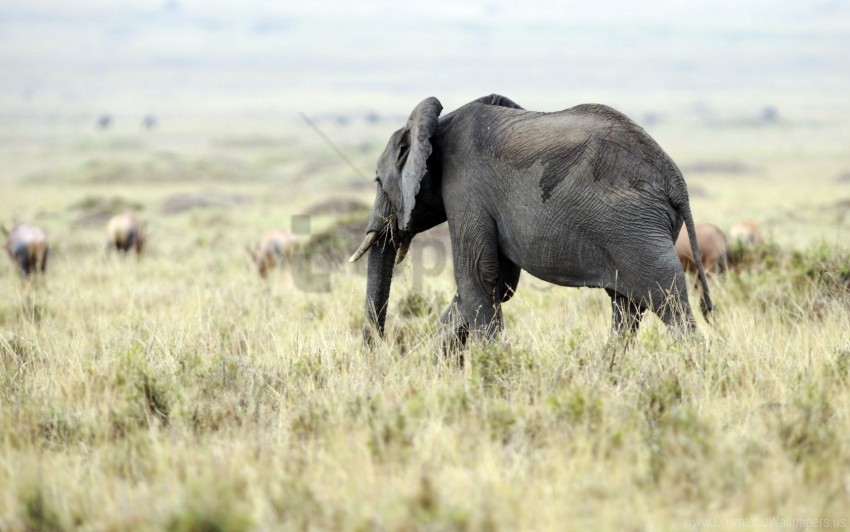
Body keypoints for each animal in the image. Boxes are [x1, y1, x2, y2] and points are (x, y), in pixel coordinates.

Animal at [348, 92, 712, 350]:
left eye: (377, 181)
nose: (377, 349)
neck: (439, 124)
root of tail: (676, 181)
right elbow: (498, 283)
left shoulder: (466, 190)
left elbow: (477, 278)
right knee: (627, 305)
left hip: (637, 231)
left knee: (668, 300)